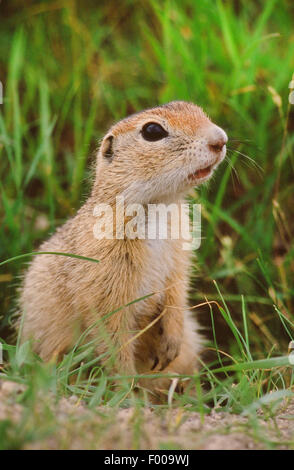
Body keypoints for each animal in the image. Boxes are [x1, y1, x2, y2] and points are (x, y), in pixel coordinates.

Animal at [19, 101, 227, 398]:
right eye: (152, 131)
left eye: (196, 109)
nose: (220, 139)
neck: (159, 207)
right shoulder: (107, 285)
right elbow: (114, 340)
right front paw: (127, 393)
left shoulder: (179, 257)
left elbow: (176, 294)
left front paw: (169, 346)